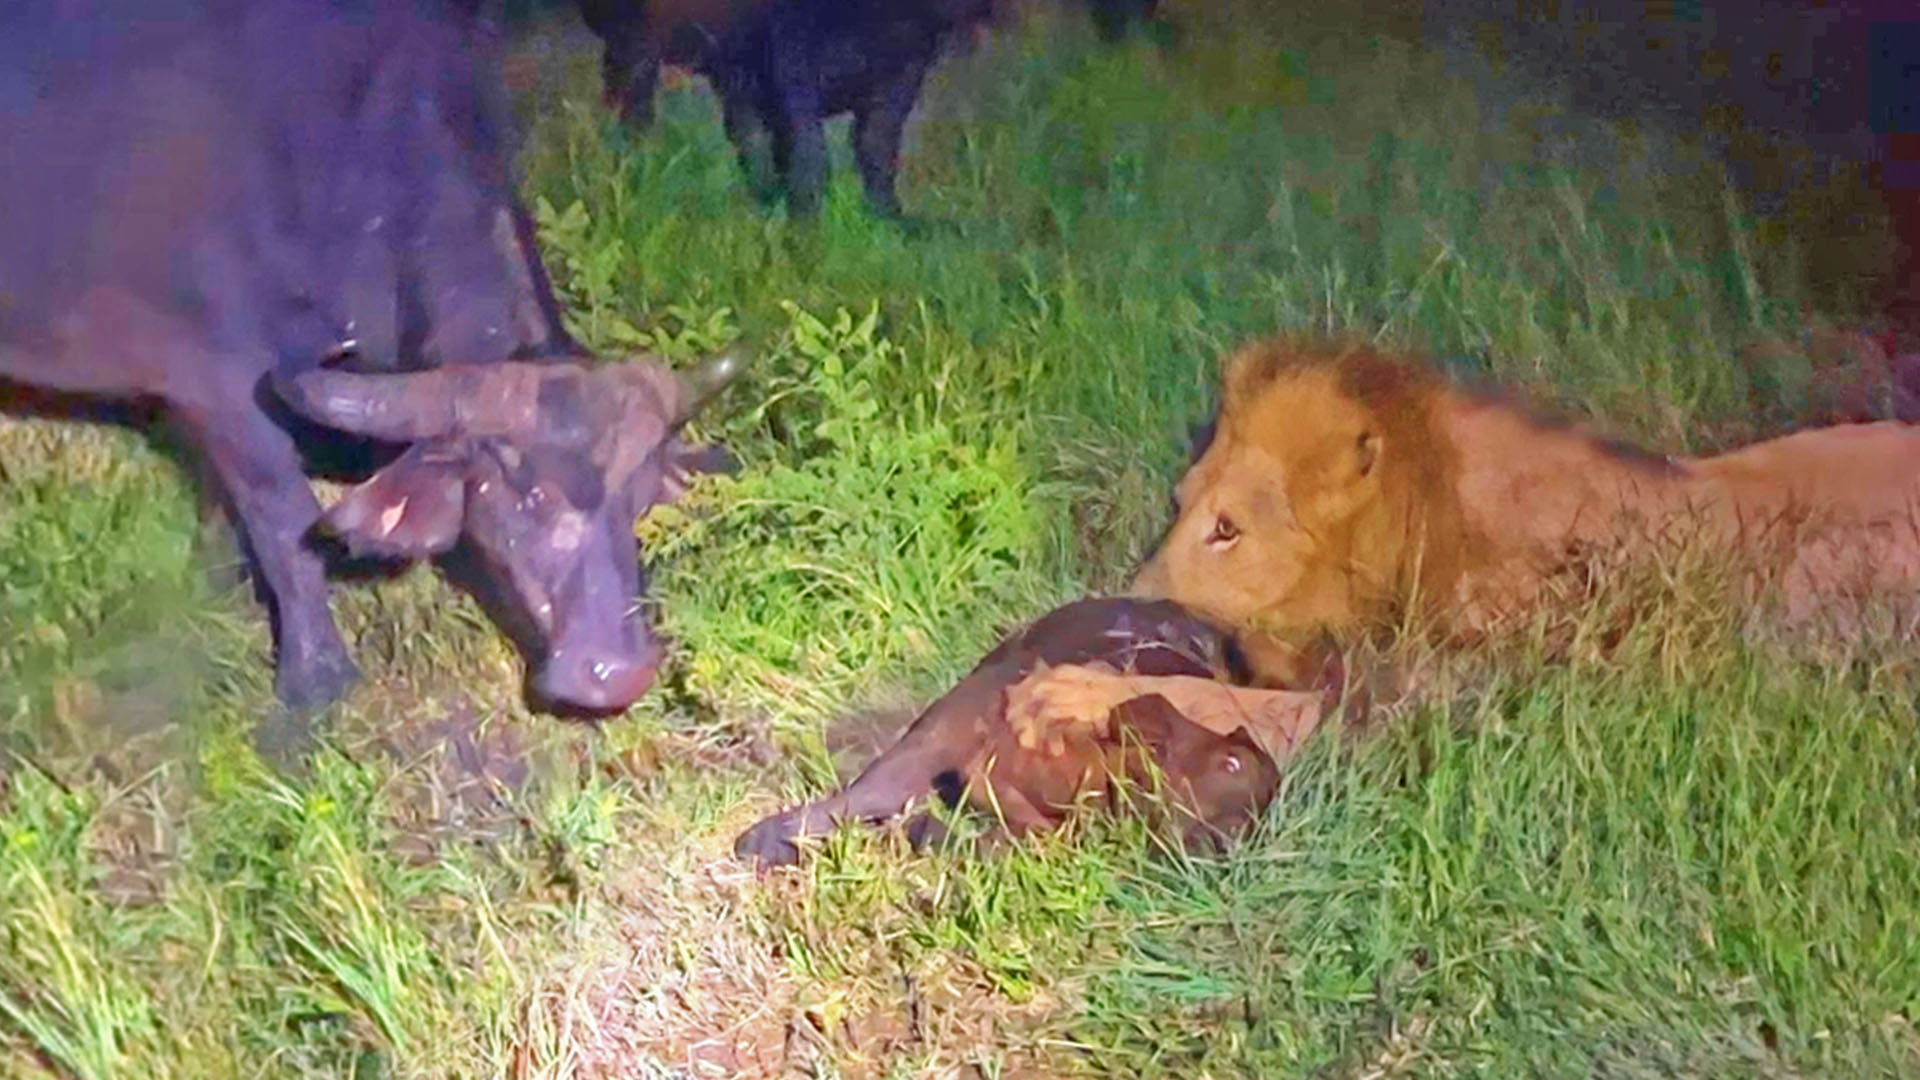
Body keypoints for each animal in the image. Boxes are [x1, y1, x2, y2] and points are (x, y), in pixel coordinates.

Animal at [0, 4, 741, 718]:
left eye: (639, 496)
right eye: (527, 496)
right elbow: (284, 524)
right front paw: (314, 686)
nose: (617, 673)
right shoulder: (218, 388)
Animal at [1013, 336, 1912, 749]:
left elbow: (1237, 702)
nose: (1125, 605)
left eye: (1226, 530)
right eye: (1179, 503)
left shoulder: (1433, 706)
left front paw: (1068, 693)